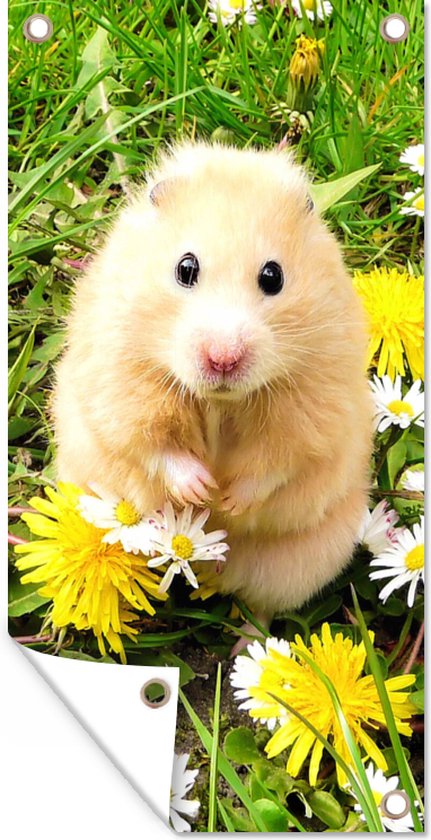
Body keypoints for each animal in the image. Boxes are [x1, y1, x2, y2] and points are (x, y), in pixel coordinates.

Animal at [53, 142, 373, 638]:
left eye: (273, 276)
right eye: (186, 268)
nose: (223, 359)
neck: (220, 401)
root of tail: (210, 567)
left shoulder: (313, 404)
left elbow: (277, 462)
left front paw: (227, 502)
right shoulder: (120, 380)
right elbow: (153, 444)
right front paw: (200, 491)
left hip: (299, 561)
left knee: (261, 606)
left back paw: (248, 643)